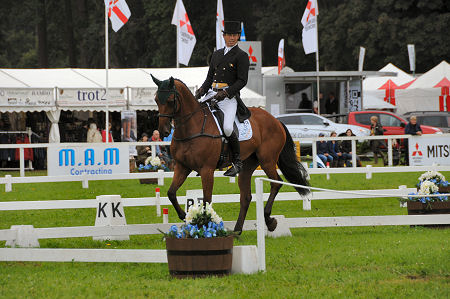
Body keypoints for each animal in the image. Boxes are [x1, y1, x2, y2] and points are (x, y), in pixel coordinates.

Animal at [151, 76, 310, 233]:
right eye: (156, 100)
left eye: (170, 100)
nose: (163, 130)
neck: (192, 127)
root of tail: (276, 120)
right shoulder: (182, 167)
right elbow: (171, 193)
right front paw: (185, 216)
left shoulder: (207, 169)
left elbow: (206, 199)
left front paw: (203, 224)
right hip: (248, 165)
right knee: (246, 197)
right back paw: (237, 230)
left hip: (267, 160)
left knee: (276, 183)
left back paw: (269, 221)